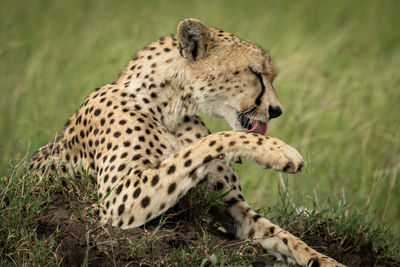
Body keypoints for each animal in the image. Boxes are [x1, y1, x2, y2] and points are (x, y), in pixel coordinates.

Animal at [30, 19, 344, 267]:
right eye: (255, 73)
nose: (277, 110)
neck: (169, 106)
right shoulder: (117, 200)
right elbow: (212, 140)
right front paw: (278, 151)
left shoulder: (236, 211)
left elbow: (285, 238)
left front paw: (327, 261)